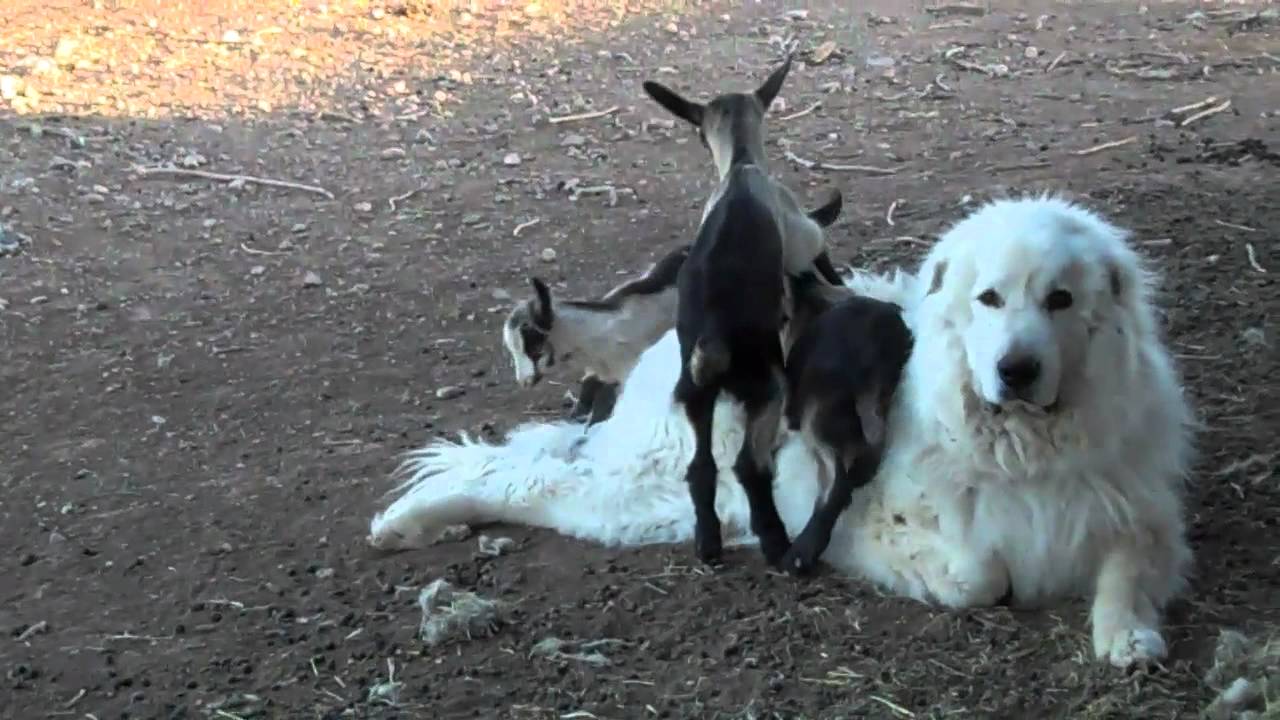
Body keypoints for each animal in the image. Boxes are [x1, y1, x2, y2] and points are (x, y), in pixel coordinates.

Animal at [640, 53, 839, 563]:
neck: (742, 167)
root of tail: (713, 341)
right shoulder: (800, 236)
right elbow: (818, 249)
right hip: (767, 387)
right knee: (750, 465)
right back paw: (773, 539)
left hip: (694, 394)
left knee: (700, 468)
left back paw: (708, 541)